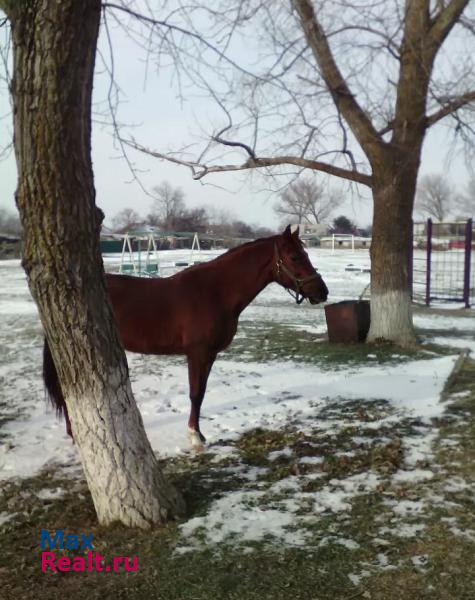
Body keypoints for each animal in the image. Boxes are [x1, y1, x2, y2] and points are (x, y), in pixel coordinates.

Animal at [43, 227, 328, 448]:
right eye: (294, 256)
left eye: (306, 254)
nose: (322, 292)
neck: (215, 292)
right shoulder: (197, 353)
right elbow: (194, 394)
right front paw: (194, 437)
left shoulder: (209, 355)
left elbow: (200, 394)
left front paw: (199, 434)